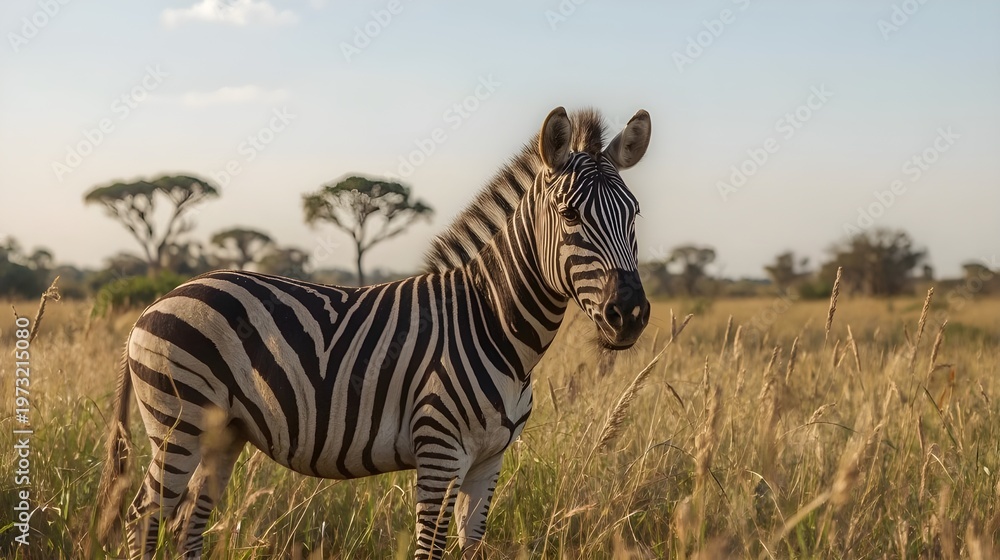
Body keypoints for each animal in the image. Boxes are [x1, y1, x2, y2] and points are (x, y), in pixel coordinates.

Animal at [97, 106, 652, 559]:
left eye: (635, 213)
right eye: (570, 214)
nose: (630, 314)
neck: (494, 325)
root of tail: (158, 301)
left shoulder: (489, 462)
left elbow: (471, 546)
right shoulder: (439, 452)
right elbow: (429, 549)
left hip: (222, 431)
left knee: (189, 521)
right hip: (178, 422)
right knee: (144, 518)